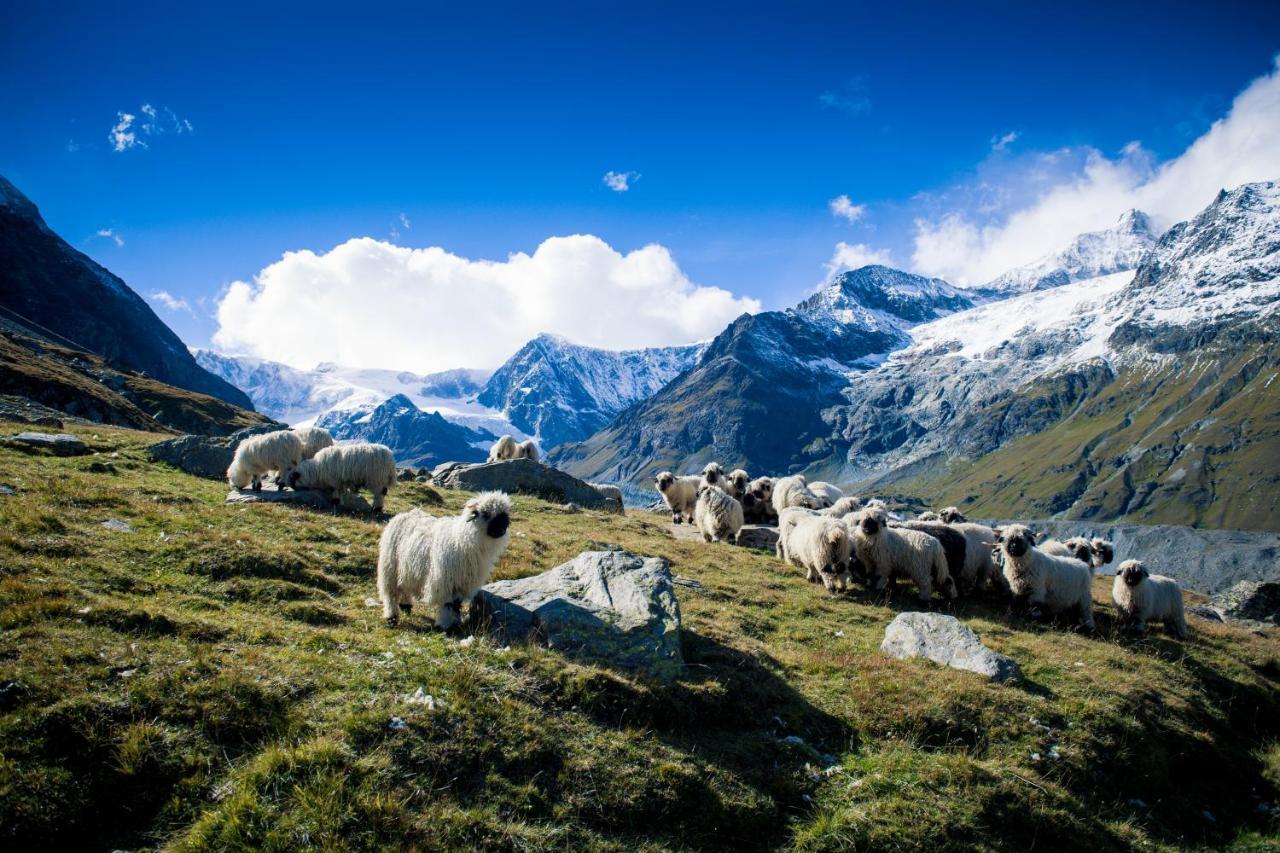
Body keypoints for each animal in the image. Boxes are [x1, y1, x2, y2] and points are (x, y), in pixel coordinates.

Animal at [373, 489, 509, 627]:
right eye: (486, 514)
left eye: (504, 515)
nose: (502, 529)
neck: (462, 540)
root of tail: (404, 514)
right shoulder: (445, 581)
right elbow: (447, 604)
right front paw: (443, 624)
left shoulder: (461, 583)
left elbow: (456, 604)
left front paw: (456, 623)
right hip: (390, 566)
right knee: (391, 594)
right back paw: (392, 617)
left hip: (406, 567)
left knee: (405, 585)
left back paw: (406, 606)